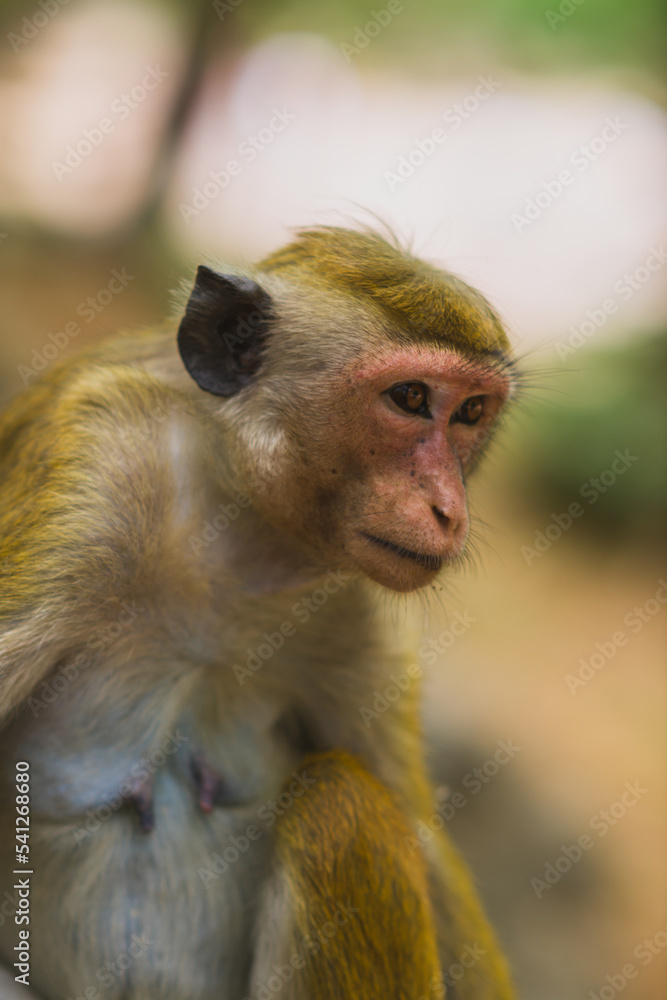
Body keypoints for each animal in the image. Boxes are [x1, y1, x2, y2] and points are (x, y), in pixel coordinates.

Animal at [0, 226, 518, 1000]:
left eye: (471, 413)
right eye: (410, 396)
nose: (448, 511)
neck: (232, 529)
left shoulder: (353, 608)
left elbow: (426, 853)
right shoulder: (90, 465)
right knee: (341, 803)